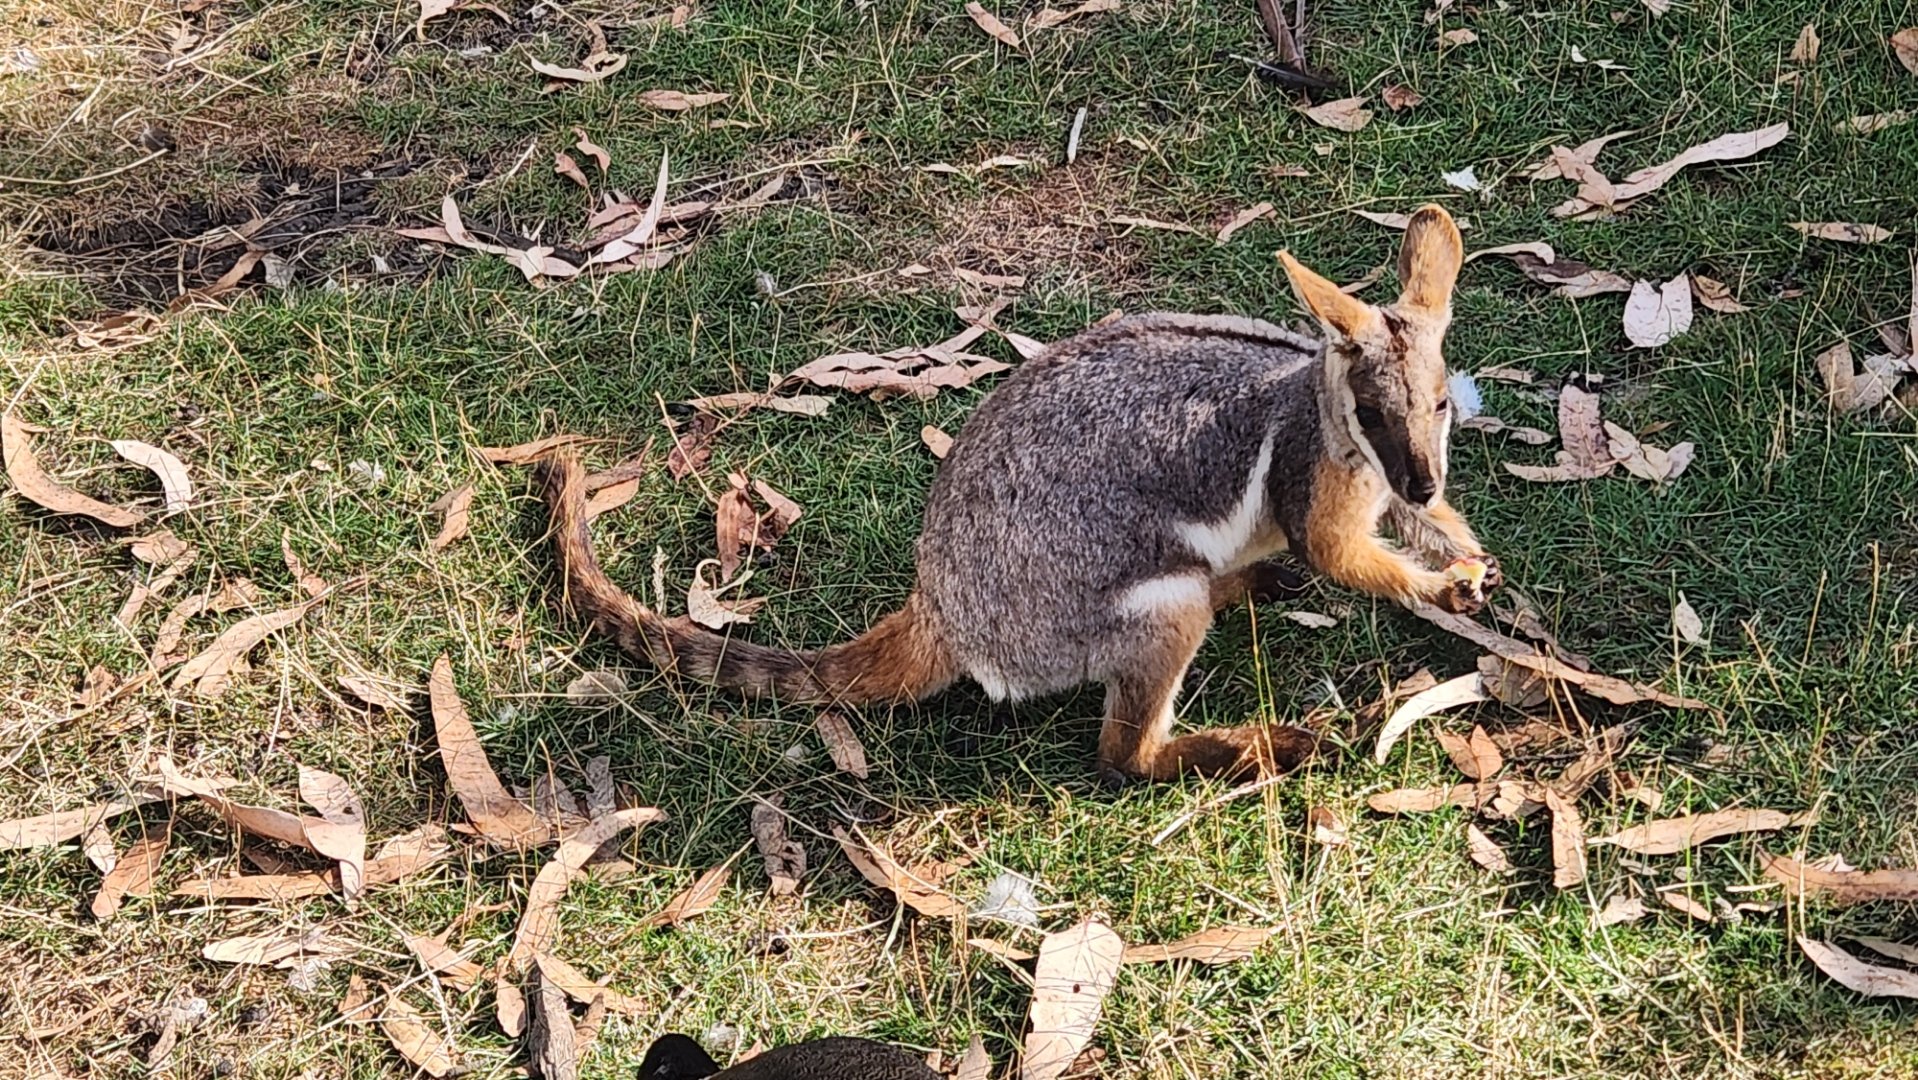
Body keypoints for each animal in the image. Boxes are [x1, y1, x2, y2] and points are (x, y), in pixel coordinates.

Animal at [537, 204, 1500, 784]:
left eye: (1441, 404)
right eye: (1374, 410)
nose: (1425, 475)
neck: (1325, 414)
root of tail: (942, 614)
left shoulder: (1390, 487)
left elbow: (1413, 527)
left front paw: (1470, 562)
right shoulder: (1318, 480)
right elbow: (1339, 554)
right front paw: (1438, 587)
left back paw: (1256, 589)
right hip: (1142, 604)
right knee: (1123, 754)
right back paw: (1269, 741)